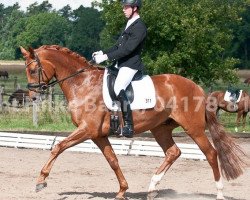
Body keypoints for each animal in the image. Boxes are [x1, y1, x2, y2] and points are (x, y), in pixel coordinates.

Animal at [21, 45, 244, 200]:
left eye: (33, 70)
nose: (33, 97)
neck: (82, 84)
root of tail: (197, 88)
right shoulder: (98, 135)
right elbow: (112, 160)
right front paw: (122, 190)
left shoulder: (87, 130)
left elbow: (57, 147)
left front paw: (41, 181)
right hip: (160, 129)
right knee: (173, 152)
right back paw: (152, 188)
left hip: (194, 129)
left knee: (211, 153)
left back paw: (219, 192)